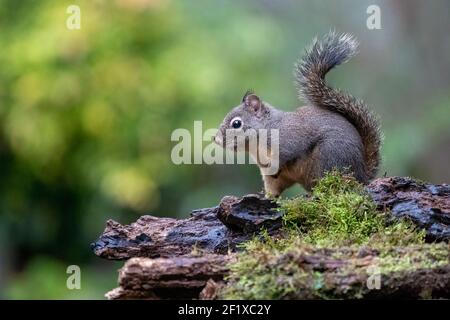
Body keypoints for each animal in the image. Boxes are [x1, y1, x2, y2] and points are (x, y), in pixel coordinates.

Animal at [214, 31, 380, 198]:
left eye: (236, 124)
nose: (216, 139)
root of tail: (361, 175)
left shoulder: (288, 140)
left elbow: (286, 155)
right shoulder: (268, 173)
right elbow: (272, 186)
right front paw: (266, 196)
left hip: (329, 156)